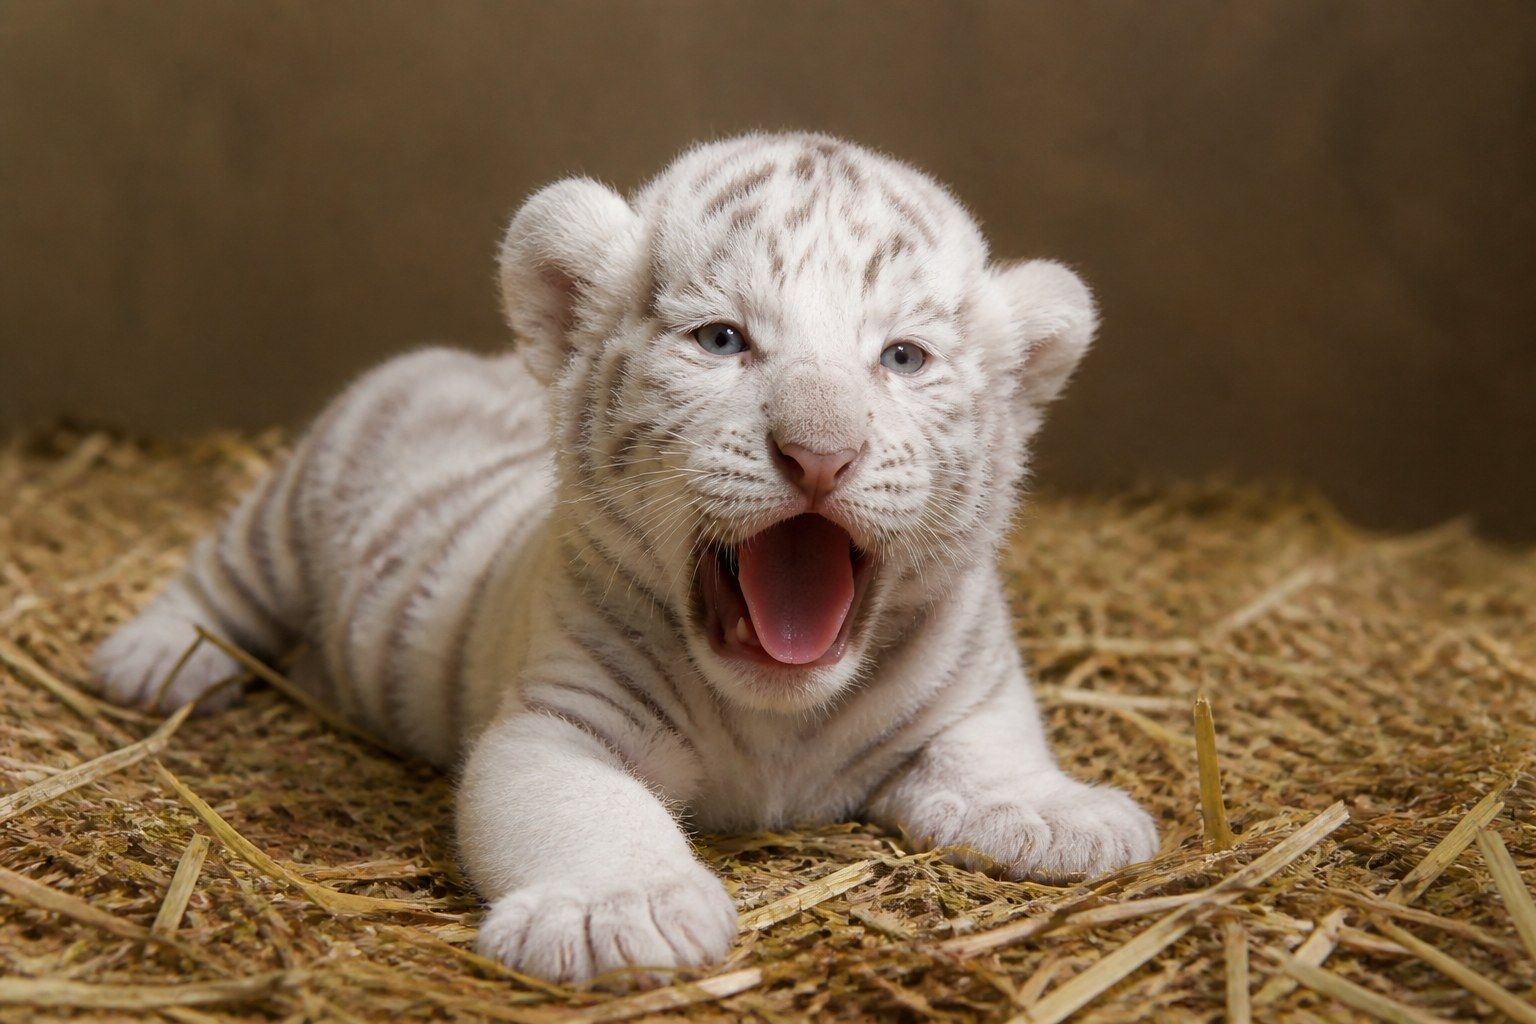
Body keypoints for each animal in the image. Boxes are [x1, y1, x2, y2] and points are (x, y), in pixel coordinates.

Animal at [92, 132, 1159, 984]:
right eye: (722, 339)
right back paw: (148, 663)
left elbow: (996, 747)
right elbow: (587, 810)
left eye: (902, 358)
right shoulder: (562, 719)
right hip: (290, 503)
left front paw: (1063, 819)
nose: (820, 450)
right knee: (218, 577)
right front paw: (619, 915)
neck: (779, 721)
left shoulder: (976, 683)